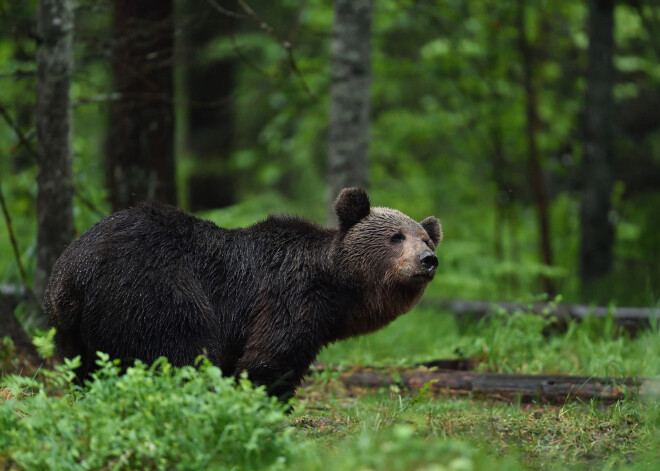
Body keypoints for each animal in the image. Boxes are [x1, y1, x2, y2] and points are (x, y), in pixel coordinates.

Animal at [43, 189, 440, 402]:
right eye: (396, 237)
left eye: (426, 237)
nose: (428, 260)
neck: (336, 289)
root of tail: (70, 273)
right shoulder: (288, 298)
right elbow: (271, 359)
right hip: (153, 290)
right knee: (181, 354)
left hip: (74, 328)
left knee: (85, 370)